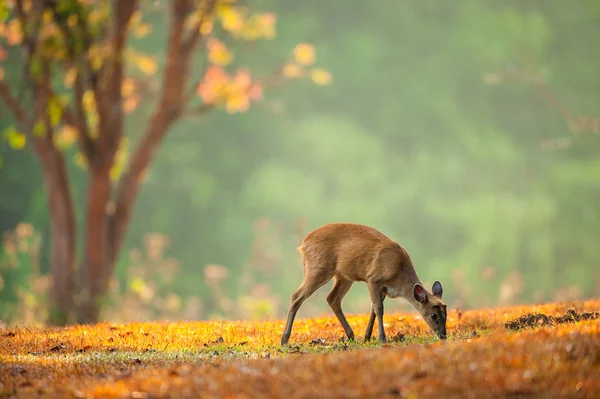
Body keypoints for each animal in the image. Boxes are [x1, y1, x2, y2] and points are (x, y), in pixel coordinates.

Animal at [282, 223, 446, 346]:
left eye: (446, 312)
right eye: (433, 315)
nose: (444, 336)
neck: (399, 277)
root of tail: (303, 244)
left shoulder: (384, 288)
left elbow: (373, 309)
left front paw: (367, 337)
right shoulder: (373, 278)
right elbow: (379, 308)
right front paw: (382, 338)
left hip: (343, 276)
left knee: (332, 299)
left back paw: (351, 335)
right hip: (318, 268)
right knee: (296, 296)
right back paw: (284, 339)